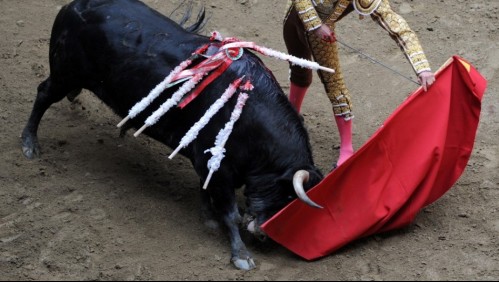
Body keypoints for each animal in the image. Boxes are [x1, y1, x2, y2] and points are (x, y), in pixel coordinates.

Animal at [20, 0, 324, 270]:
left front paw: (208, 219)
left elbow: (206, 192)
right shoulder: (219, 168)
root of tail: (71, 6)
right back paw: (29, 144)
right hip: (64, 73)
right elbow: (230, 213)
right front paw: (241, 255)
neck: (251, 112)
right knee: (43, 94)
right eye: (288, 195)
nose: (263, 235)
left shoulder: (207, 162)